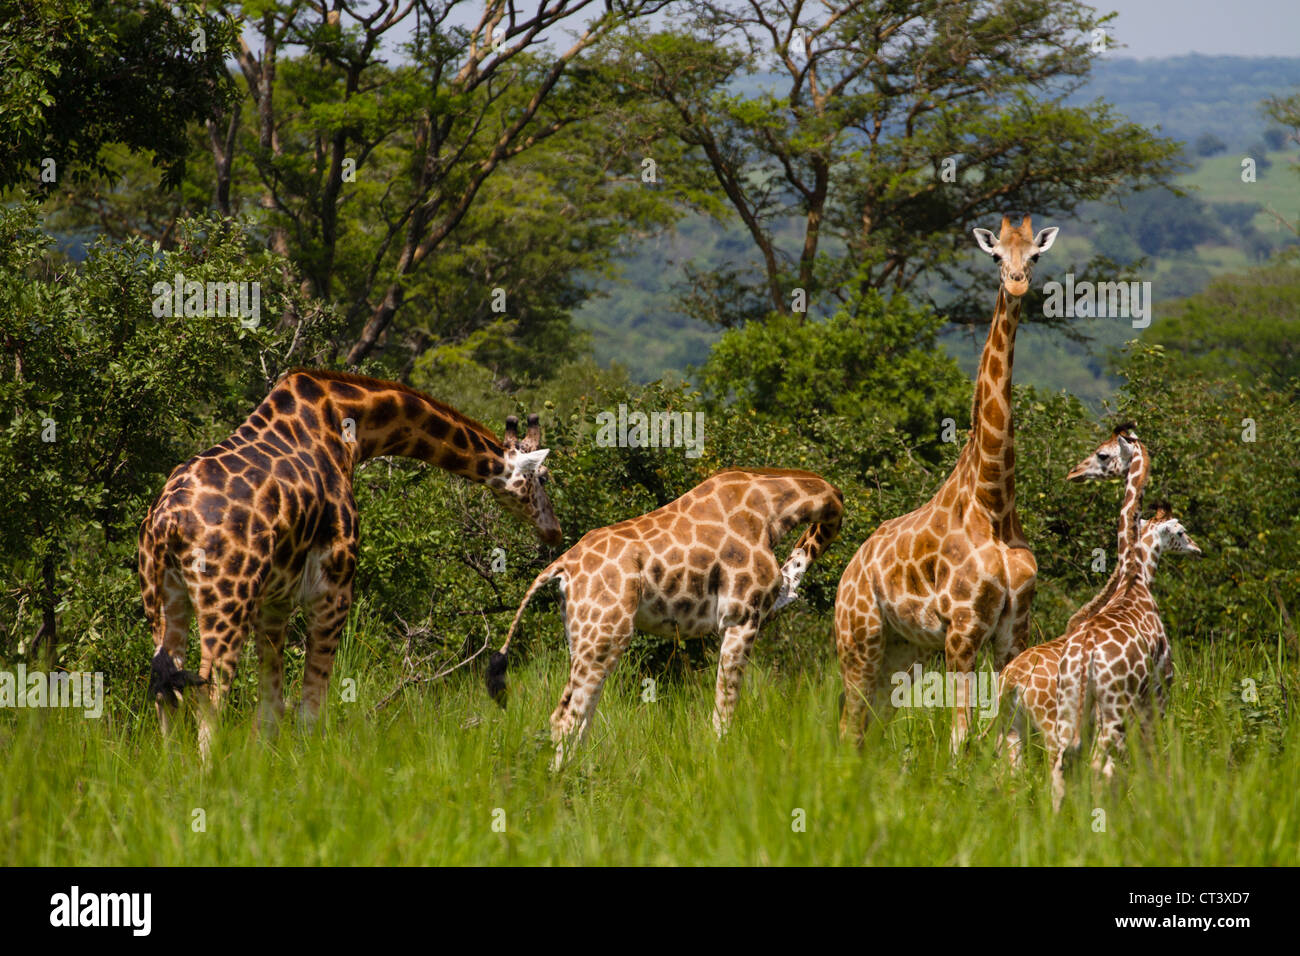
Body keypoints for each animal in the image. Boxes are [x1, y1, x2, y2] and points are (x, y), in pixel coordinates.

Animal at [138, 368, 561, 756]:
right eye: (543, 477)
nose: (554, 532)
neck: (351, 425)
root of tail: (167, 521)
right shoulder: (333, 588)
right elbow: (310, 708)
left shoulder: (276, 598)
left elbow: (272, 705)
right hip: (227, 598)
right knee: (210, 690)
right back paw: (208, 775)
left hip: (163, 599)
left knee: (168, 688)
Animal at [485, 468, 843, 767]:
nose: (783, 593)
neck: (770, 507)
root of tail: (561, 567)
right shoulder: (741, 618)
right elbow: (725, 709)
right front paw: (719, 763)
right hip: (606, 634)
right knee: (566, 718)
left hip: (584, 635)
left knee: (578, 717)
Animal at [834, 215, 1059, 750]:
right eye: (996, 255)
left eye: (1034, 255)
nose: (1016, 283)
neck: (994, 503)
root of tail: (848, 571)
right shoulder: (962, 628)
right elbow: (961, 732)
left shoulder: (1013, 630)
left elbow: (1005, 731)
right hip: (860, 639)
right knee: (849, 724)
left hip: (904, 649)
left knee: (874, 722)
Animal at [1049, 501, 1202, 810]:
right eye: (1181, 531)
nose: (1197, 549)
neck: (1137, 584)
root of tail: (1086, 652)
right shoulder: (1159, 689)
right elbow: (1150, 749)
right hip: (1114, 706)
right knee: (1102, 764)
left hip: (1070, 703)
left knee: (1062, 764)